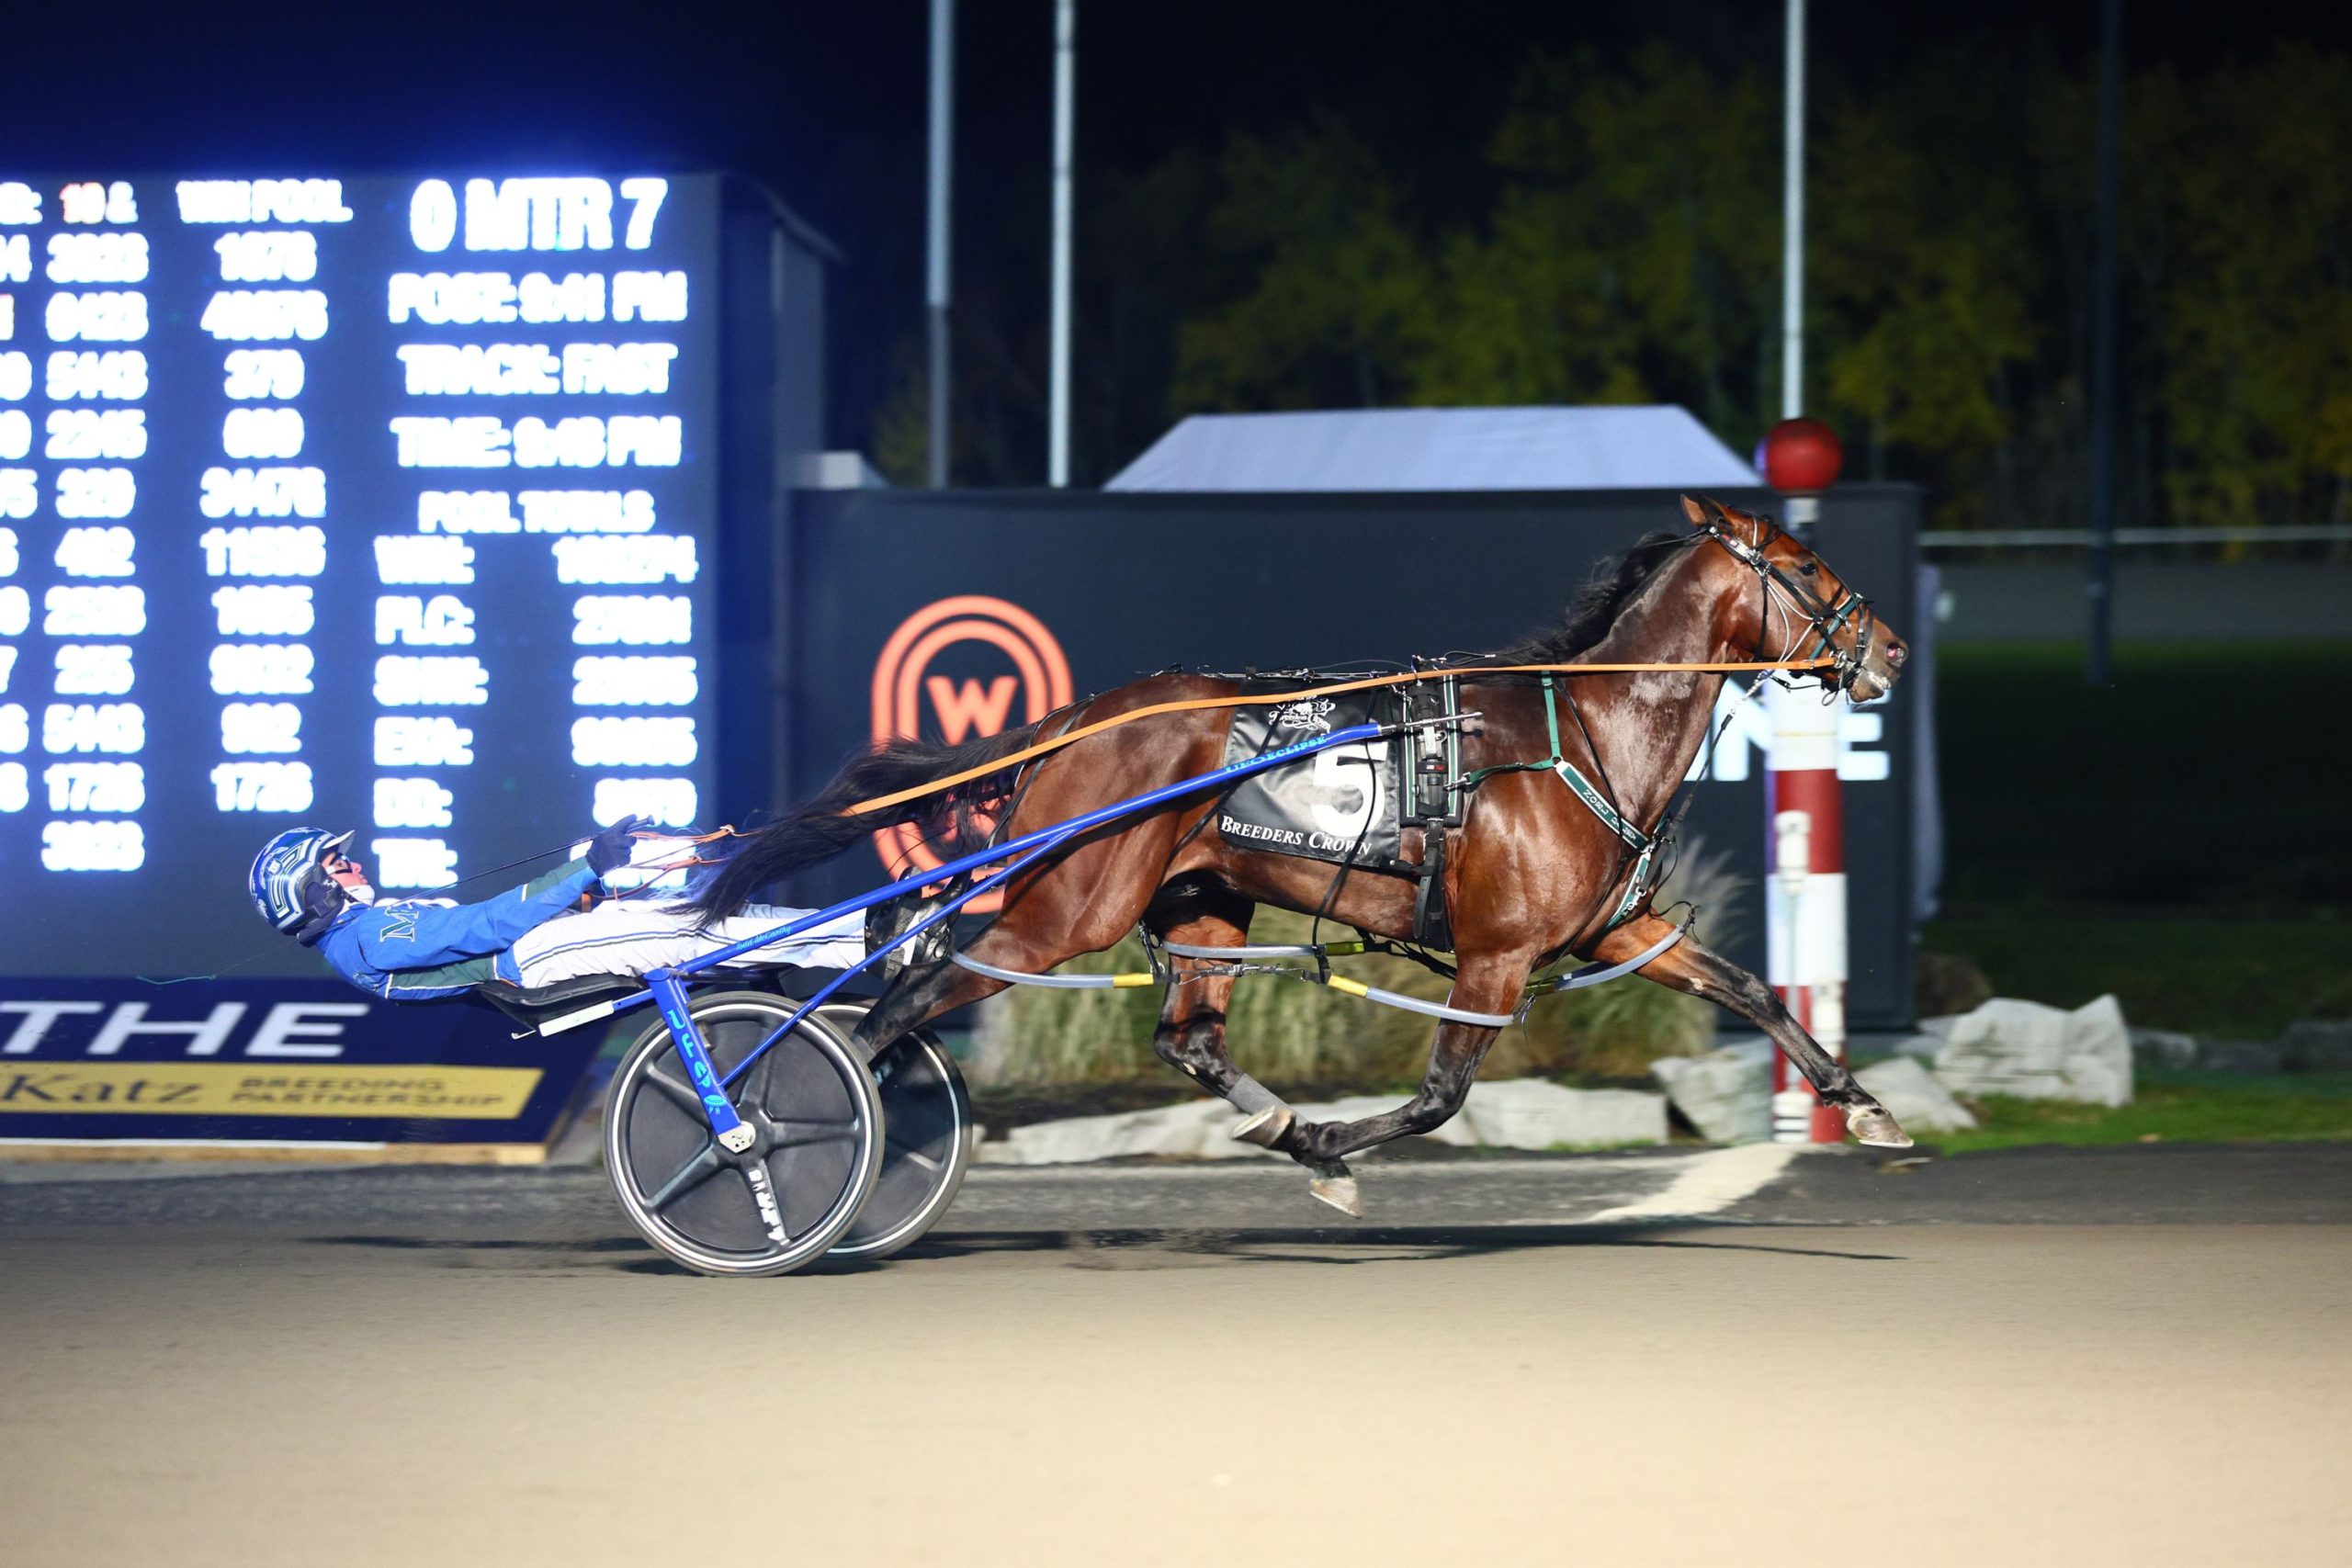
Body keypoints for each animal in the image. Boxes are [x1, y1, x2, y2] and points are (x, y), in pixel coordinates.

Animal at [695, 501, 1909, 1213]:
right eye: (1806, 565)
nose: (1890, 649)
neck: (1581, 734)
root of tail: (1078, 718)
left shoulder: (1617, 929)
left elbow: (1750, 989)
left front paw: (1867, 1108)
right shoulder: (1496, 953)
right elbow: (1440, 1096)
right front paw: (1336, 1141)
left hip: (1198, 898)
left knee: (1184, 1037)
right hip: (1069, 905)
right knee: (907, 1000)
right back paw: (780, 1137)